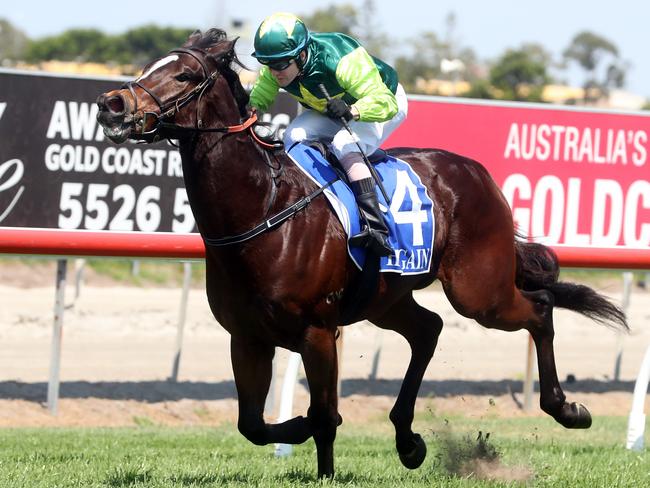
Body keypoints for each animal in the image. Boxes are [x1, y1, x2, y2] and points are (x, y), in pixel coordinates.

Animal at [95, 29, 624, 476]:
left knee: (540, 308)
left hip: (479, 292)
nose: (112, 104)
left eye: (184, 75)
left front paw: (321, 456)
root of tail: (478, 172)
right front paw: (308, 442)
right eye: (149, 65)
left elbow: (323, 414)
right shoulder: (247, 337)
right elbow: (254, 424)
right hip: (386, 298)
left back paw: (566, 408)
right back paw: (408, 440)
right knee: (429, 330)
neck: (264, 208)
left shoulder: (317, 331)